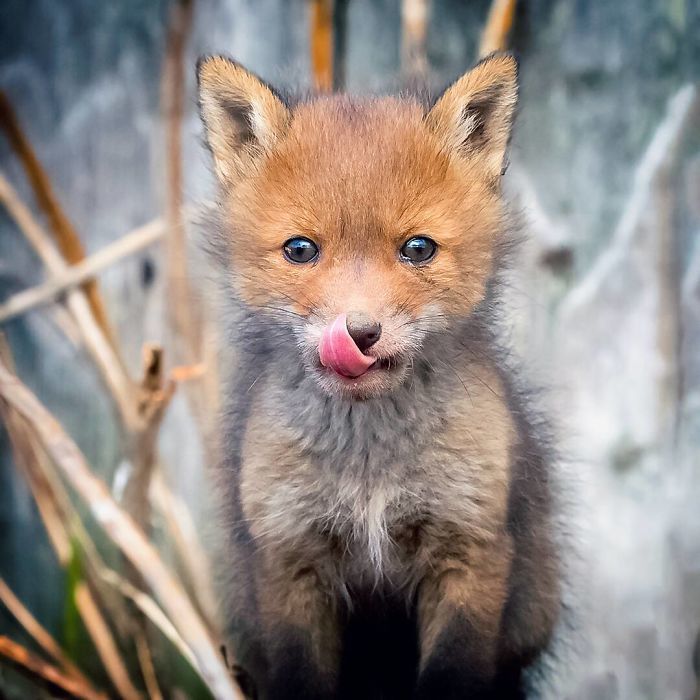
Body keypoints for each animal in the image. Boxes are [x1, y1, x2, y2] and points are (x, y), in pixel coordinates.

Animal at [197, 50, 564, 700]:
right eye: (300, 249)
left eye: (418, 249)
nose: (359, 333)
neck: (369, 469)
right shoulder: (289, 557)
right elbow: (300, 674)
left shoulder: (469, 547)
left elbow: (454, 670)